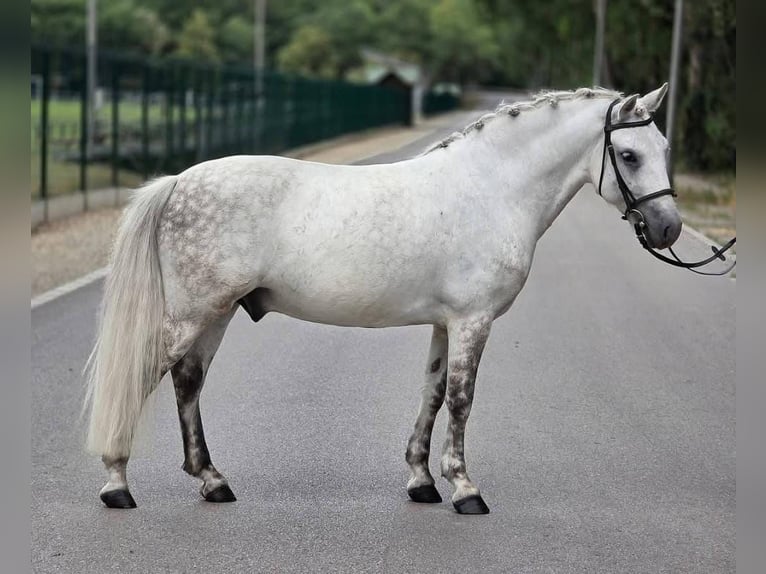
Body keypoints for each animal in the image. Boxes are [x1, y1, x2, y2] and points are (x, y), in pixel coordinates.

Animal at [85, 84, 680, 514]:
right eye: (628, 155)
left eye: (665, 150)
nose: (668, 227)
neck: (490, 188)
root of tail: (179, 181)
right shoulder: (473, 321)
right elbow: (461, 400)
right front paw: (464, 489)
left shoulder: (446, 323)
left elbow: (433, 394)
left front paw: (421, 481)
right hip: (193, 313)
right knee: (147, 376)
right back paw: (117, 485)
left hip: (215, 314)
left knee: (188, 383)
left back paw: (212, 481)